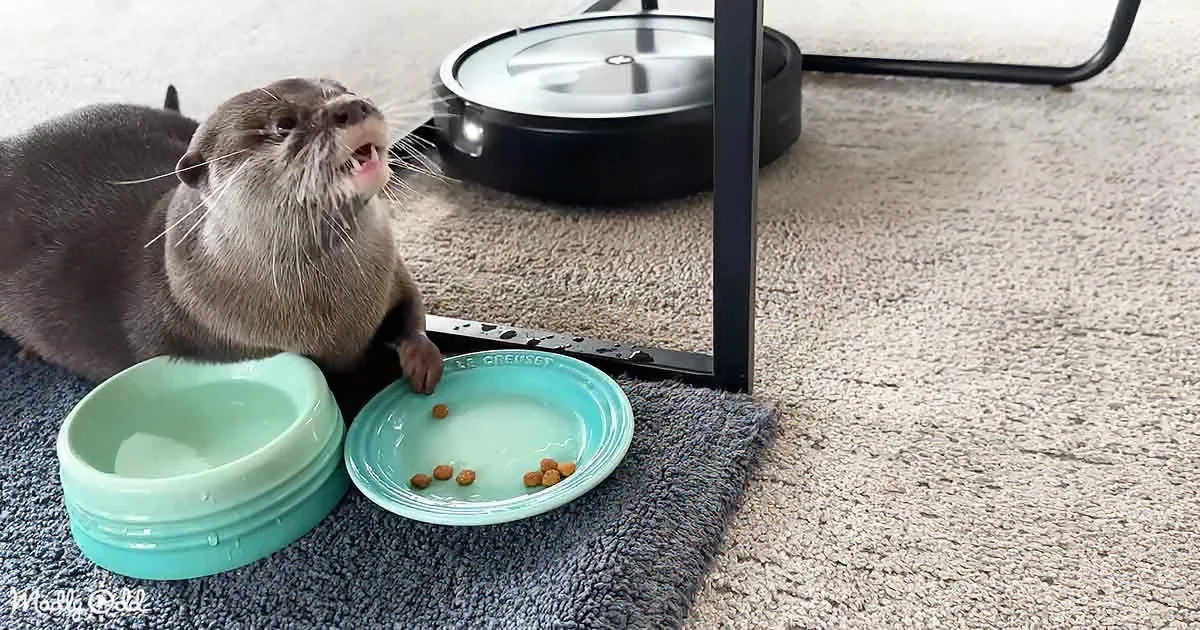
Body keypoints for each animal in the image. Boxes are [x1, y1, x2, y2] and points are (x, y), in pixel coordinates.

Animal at [0, 78, 442, 419]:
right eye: (283, 124)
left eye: (343, 90)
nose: (352, 106)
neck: (339, 310)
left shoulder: (393, 272)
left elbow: (413, 311)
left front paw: (423, 359)